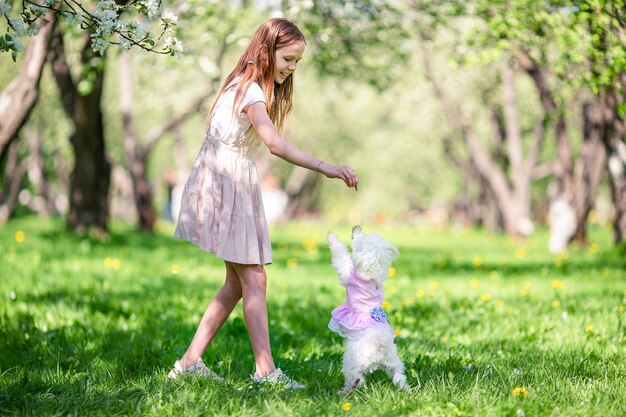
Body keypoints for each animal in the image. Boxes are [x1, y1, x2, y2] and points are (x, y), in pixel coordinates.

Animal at [326, 226, 410, 392]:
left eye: (358, 239)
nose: (356, 228)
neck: (372, 277)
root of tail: (378, 344)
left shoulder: (346, 270)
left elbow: (340, 254)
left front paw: (332, 237)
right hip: (394, 361)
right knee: (399, 376)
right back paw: (407, 389)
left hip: (352, 361)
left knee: (356, 379)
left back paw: (344, 391)